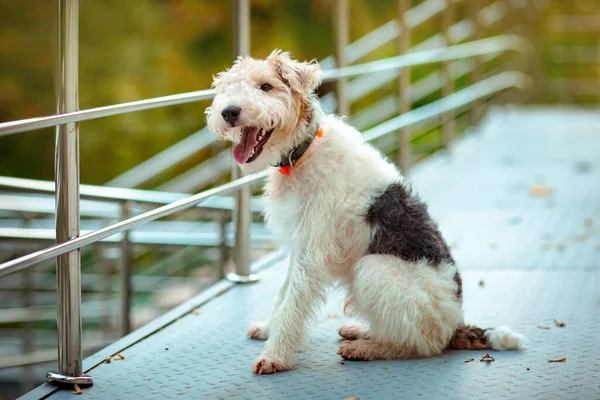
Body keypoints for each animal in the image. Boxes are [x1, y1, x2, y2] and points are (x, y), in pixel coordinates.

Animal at [204, 50, 524, 376]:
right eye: (229, 87)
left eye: (266, 86)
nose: (228, 112)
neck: (303, 152)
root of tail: (456, 324)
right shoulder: (299, 245)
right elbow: (283, 294)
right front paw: (268, 330)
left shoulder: (312, 250)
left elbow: (292, 302)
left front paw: (274, 356)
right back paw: (360, 331)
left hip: (373, 269)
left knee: (420, 344)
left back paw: (365, 348)